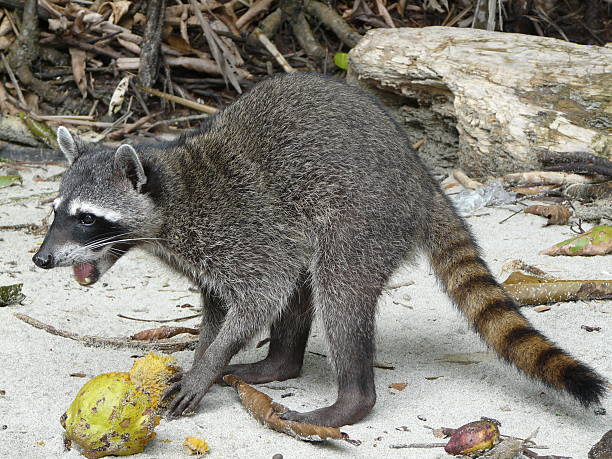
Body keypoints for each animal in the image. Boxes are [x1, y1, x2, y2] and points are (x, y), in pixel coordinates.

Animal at [34, 72, 608, 428]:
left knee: (338, 291)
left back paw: (349, 401)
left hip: (362, 219)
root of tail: (422, 179)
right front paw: (205, 356)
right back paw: (280, 364)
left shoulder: (239, 228)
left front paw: (209, 362)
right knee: (302, 281)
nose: (41, 259)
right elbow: (223, 308)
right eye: (56, 211)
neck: (172, 191)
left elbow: (259, 296)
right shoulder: (210, 255)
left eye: (87, 218)